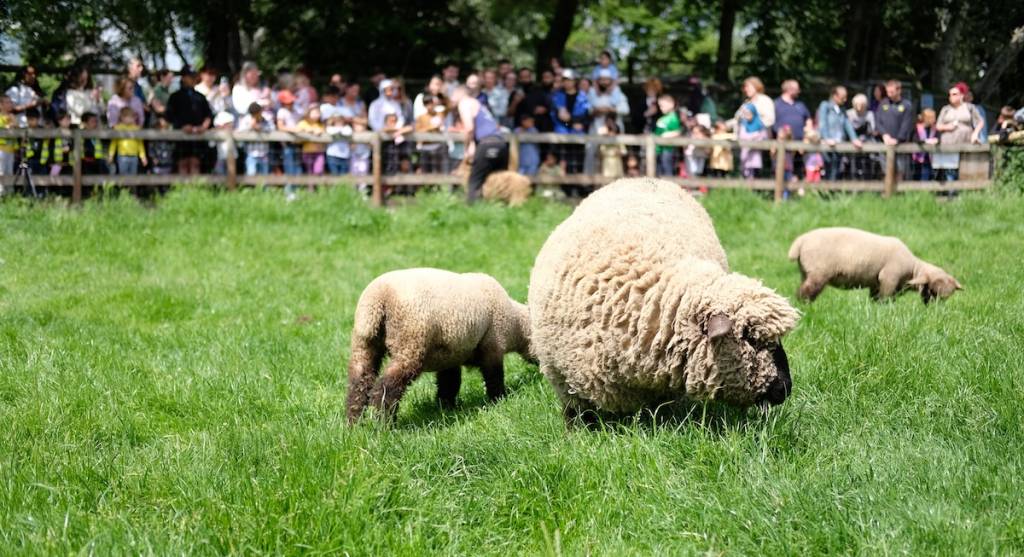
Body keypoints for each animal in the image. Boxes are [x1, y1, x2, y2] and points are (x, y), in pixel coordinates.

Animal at [346, 268, 532, 424]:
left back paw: (354, 424)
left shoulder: (450, 355)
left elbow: (449, 382)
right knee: (386, 387)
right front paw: (499, 399)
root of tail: (377, 300)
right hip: (410, 341)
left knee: (359, 381)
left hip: (364, 344)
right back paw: (384, 423)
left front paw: (446, 407)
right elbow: (494, 377)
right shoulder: (492, 344)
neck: (515, 324)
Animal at [788, 227, 962, 304]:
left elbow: (875, 298)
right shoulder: (889, 278)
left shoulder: (876, 283)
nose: (934, 310)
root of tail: (800, 241)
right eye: (933, 291)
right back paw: (804, 305)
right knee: (807, 291)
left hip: (805, 271)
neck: (912, 269)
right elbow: (885, 298)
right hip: (819, 272)